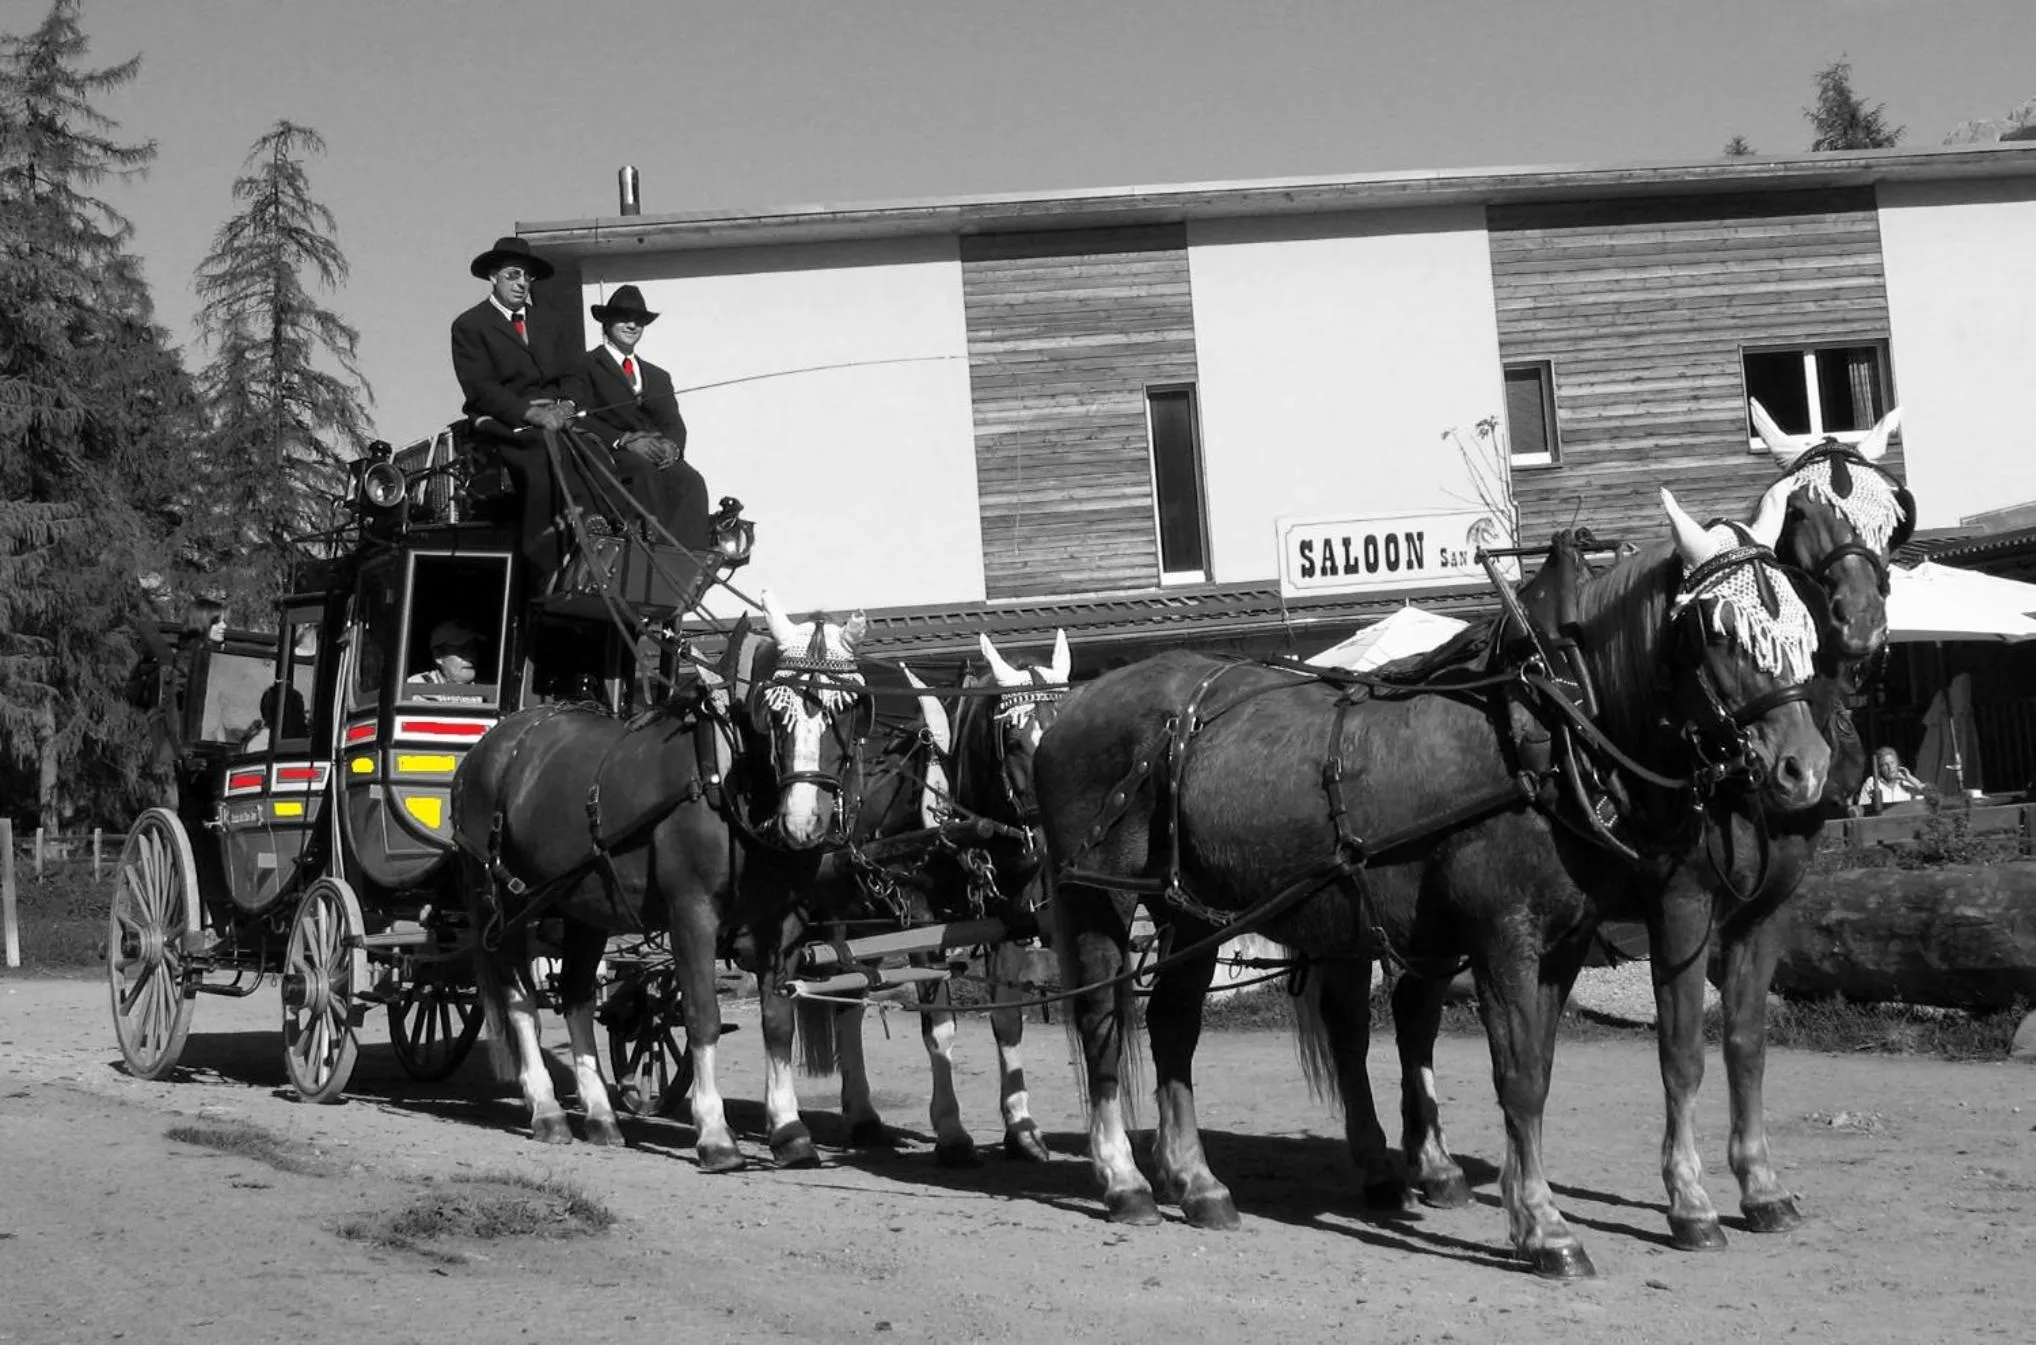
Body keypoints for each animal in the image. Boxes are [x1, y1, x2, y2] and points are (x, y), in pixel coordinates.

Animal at [451, 590, 869, 1171]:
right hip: (503, 902)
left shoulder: (781, 923)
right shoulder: (690, 912)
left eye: (847, 707)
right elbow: (702, 1016)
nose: (803, 821)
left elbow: (778, 1020)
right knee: (517, 998)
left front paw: (790, 1131)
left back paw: (601, 1116)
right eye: (773, 711)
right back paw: (547, 1111)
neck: (727, 776)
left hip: (584, 903)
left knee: (577, 995)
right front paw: (715, 1135)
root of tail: (490, 745)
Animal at [802, 630, 1072, 1165]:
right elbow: (940, 1028)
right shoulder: (922, 920)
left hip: (866, 921)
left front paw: (1022, 1130)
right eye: (1014, 741)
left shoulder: (1006, 919)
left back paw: (862, 1117)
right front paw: (951, 1132)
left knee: (849, 1002)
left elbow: (1007, 1020)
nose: (1047, 837)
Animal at [1034, 490, 1831, 1276]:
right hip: (1099, 900)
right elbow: (1535, 1074)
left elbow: (1546, 1067)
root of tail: (1072, 709)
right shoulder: (1529, 932)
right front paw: (1548, 1224)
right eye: (1721, 634)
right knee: (1103, 1025)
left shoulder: (1566, 942)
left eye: (1803, 625)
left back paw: (1198, 1181)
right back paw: (1126, 1179)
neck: (1550, 719)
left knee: (1177, 1026)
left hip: (1196, 914)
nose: (1806, 767)